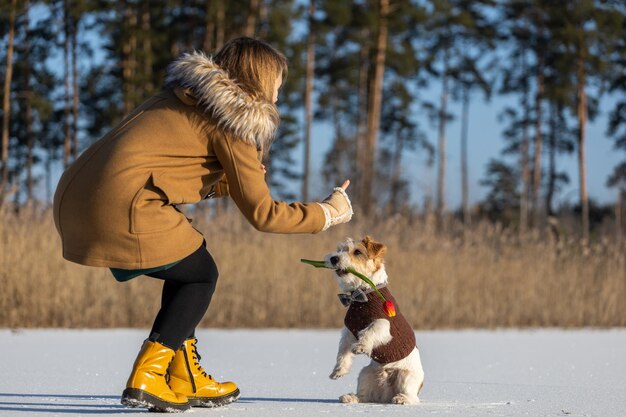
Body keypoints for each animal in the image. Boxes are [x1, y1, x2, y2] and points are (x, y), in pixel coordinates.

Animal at [322, 237, 424, 404]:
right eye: (340, 249)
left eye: (357, 252)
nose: (334, 258)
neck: (363, 293)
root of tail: (387, 392)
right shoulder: (349, 331)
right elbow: (343, 352)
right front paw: (338, 370)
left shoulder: (384, 323)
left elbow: (370, 331)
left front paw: (361, 346)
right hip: (366, 374)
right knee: (365, 395)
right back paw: (350, 397)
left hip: (406, 377)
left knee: (413, 397)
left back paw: (402, 399)